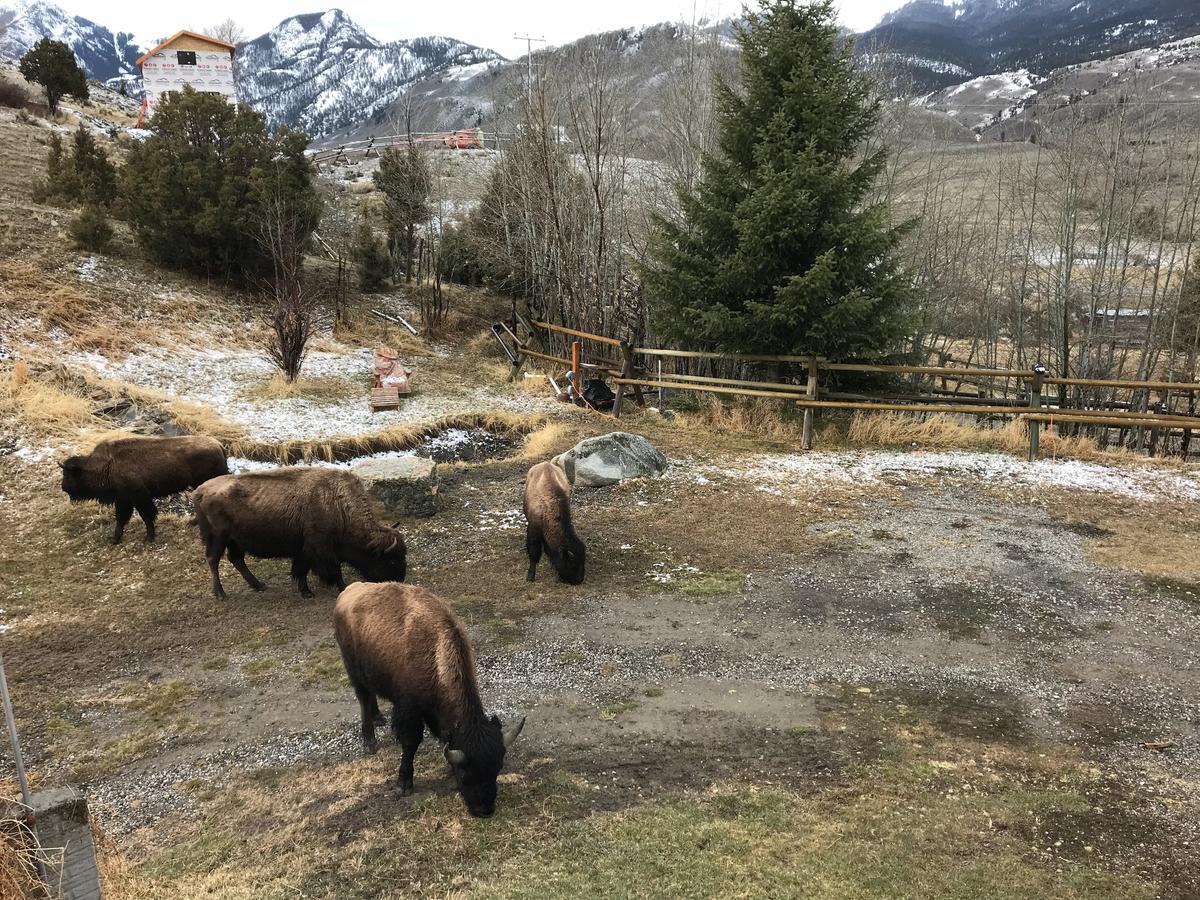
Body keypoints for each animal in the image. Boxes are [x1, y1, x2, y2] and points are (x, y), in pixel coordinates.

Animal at [59, 434, 229, 547]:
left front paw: (148, 538)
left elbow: (144, 516)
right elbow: (122, 518)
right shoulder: (125, 499)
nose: (63, 487)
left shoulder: (137, 497)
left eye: (68, 474)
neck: (107, 465)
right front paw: (116, 539)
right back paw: (193, 522)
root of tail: (219, 445)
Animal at [192, 468, 408, 602]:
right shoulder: (319, 549)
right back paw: (221, 593)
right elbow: (328, 569)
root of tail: (200, 491)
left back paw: (259, 585)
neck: (338, 505)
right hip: (218, 538)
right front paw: (317, 590)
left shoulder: (305, 551)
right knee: (213, 560)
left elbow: (301, 569)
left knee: (236, 559)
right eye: (391, 560)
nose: (400, 579)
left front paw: (307, 590)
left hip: (235, 541)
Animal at [336, 580, 528, 820]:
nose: (484, 810)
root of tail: (348, 592)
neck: (435, 652)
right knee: (363, 697)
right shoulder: (409, 709)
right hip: (354, 670)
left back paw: (379, 717)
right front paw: (404, 784)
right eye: (465, 775)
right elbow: (411, 743)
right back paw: (370, 740)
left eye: (497, 769)